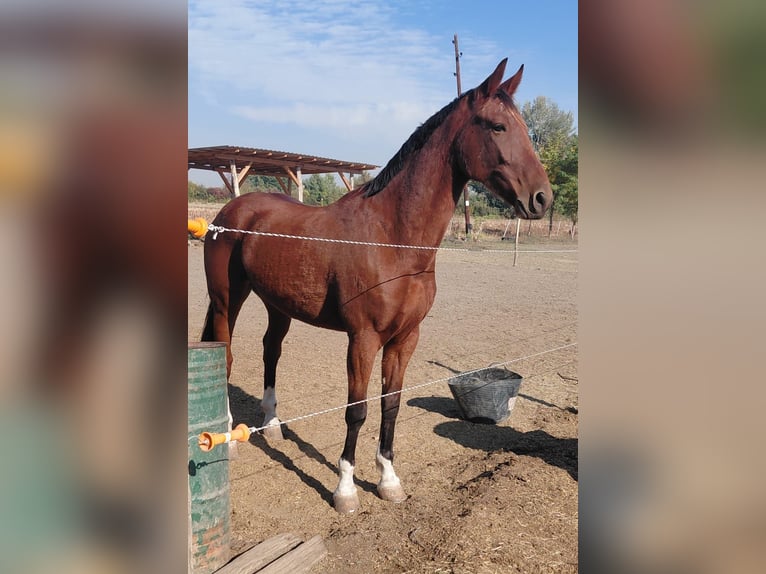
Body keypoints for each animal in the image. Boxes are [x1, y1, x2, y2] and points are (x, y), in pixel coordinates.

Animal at [201, 59, 552, 513]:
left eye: (523, 127)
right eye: (496, 126)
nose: (542, 198)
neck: (393, 239)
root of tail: (232, 208)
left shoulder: (405, 339)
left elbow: (391, 405)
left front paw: (388, 479)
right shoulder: (363, 339)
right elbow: (357, 410)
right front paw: (345, 489)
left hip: (278, 305)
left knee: (270, 351)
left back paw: (273, 424)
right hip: (227, 300)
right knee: (225, 355)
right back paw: (228, 435)